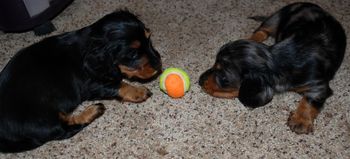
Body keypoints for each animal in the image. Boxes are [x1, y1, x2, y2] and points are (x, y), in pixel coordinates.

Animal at [0, 10, 161, 153]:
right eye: (133, 53)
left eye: (149, 38)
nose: (159, 64)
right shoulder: (91, 85)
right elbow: (119, 84)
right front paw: (138, 91)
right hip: (41, 121)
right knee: (65, 129)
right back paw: (93, 110)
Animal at [200, 2, 348, 134]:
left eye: (223, 77)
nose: (199, 80)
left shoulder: (319, 85)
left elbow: (310, 99)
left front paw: (301, 120)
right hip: (274, 19)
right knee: (261, 31)